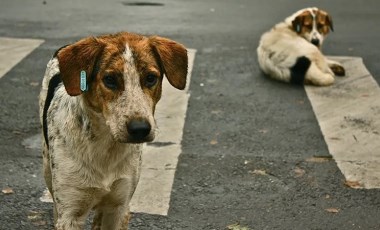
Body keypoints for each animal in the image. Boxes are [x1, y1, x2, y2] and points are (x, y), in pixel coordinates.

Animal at [38, 31, 187, 229]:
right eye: (109, 80)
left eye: (150, 78)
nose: (140, 129)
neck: (106, 145)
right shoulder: (70, 214)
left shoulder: (119, 207)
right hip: (48, 167)